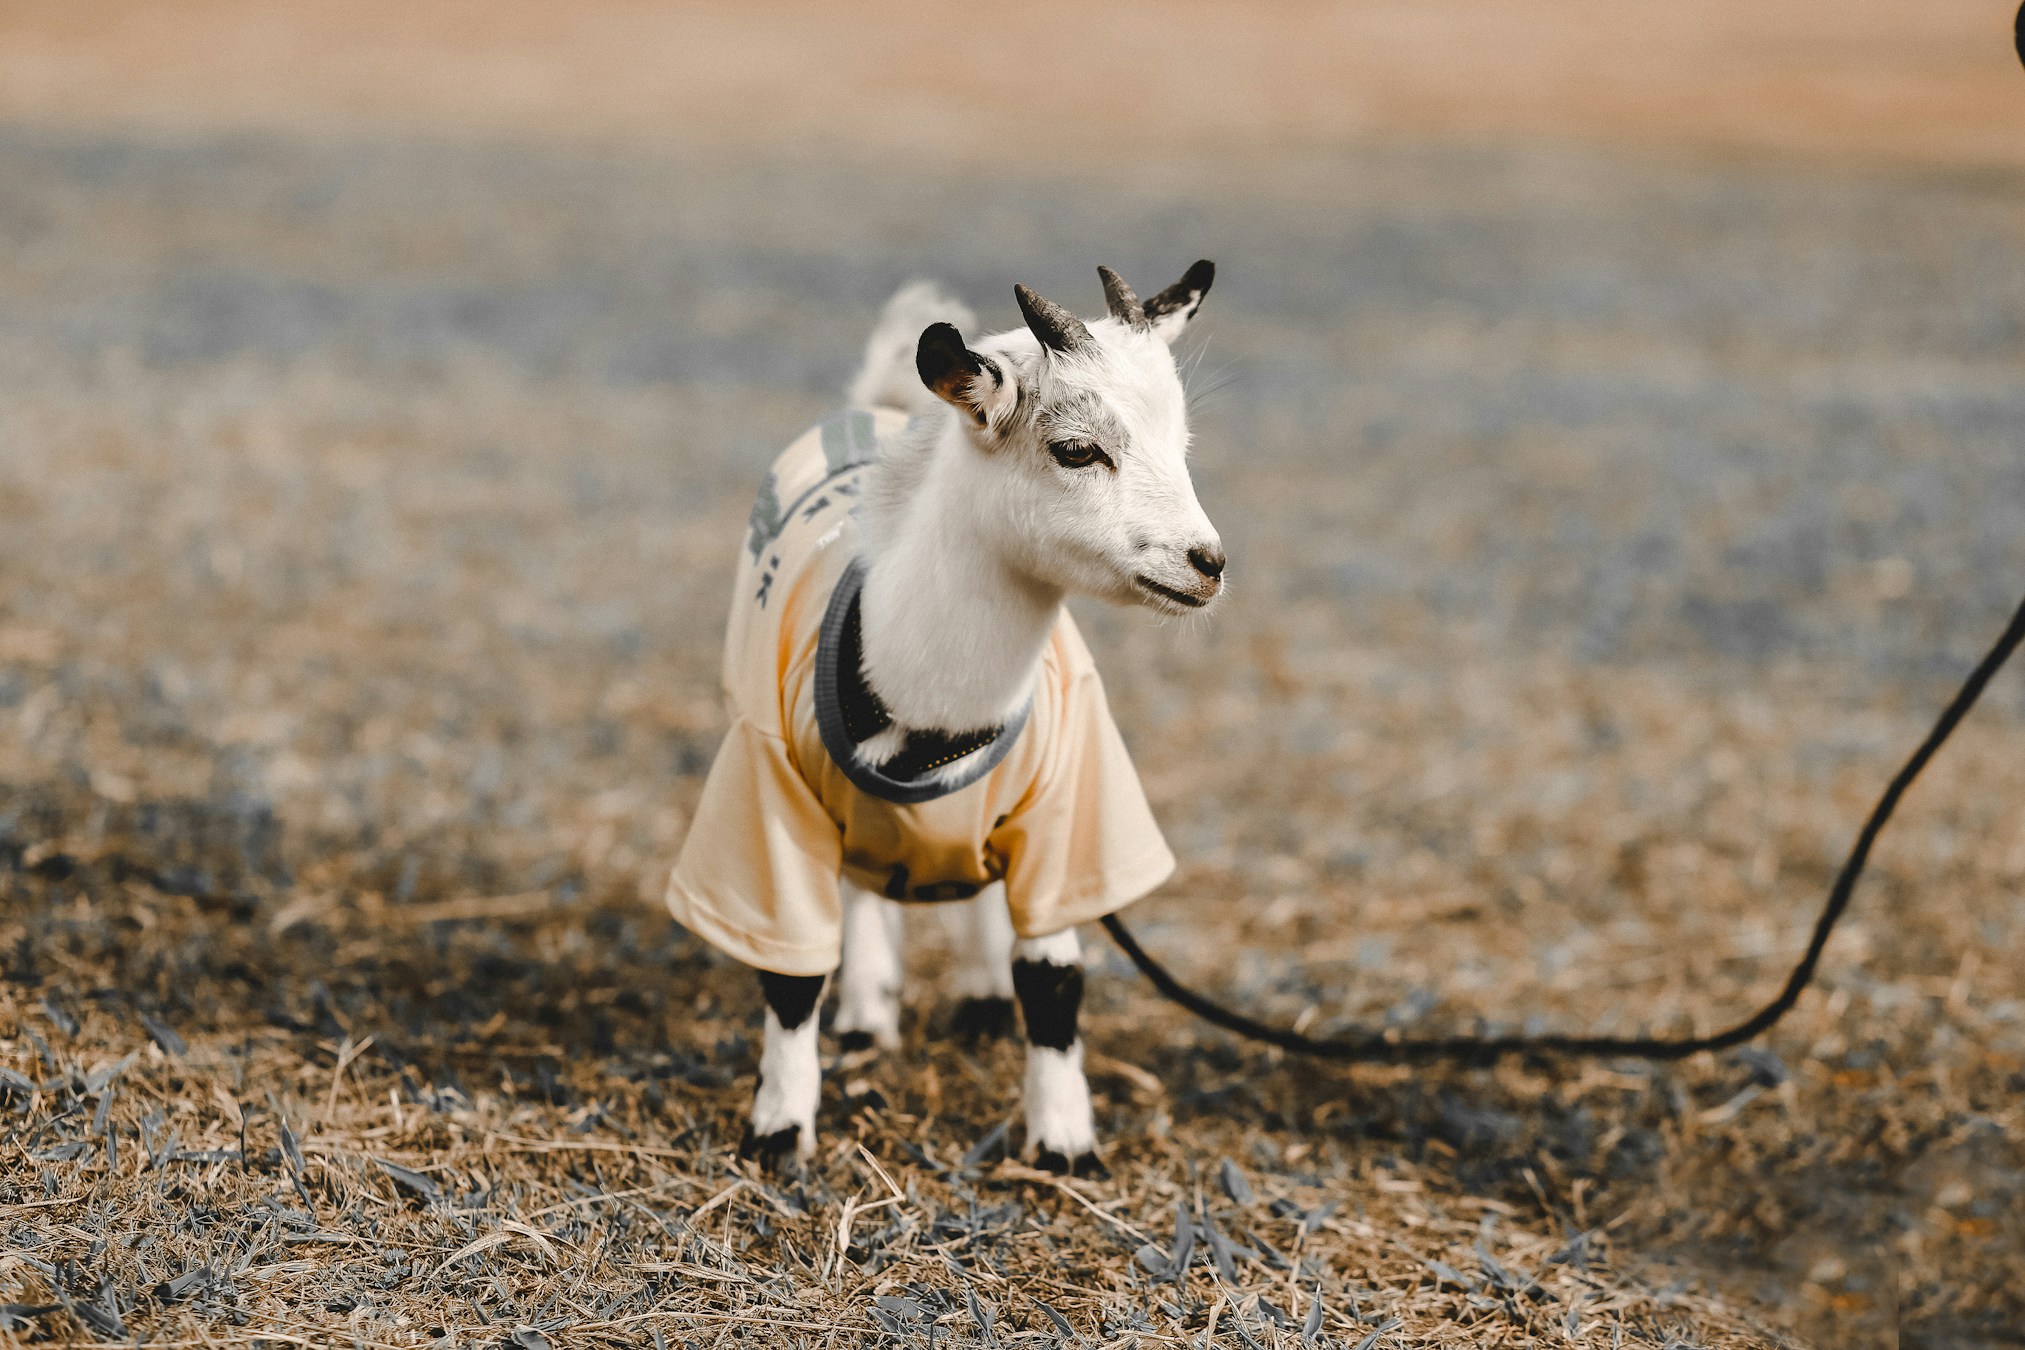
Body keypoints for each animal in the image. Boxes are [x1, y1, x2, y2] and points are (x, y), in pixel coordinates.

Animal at [666, 262, 1222, 1173]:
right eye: (1076, 449)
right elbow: (791, 975)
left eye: (1180, 445)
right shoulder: (767, 792)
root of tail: (884, 401)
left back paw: (981, 999)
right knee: (863, 886)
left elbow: (1054, 978)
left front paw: (1064, 1146)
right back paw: (866, 1015)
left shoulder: (1071, 805)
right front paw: (778, 1133)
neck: (930, 707)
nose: (1206, 564)